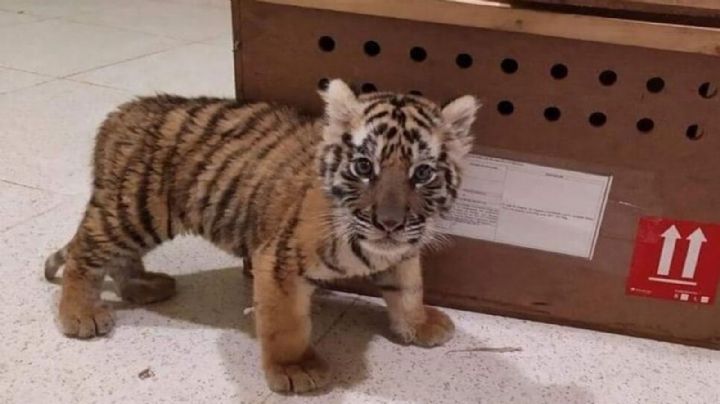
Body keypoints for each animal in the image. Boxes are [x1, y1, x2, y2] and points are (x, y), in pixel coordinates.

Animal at [43, 79, 479, 393]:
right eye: (363, 166)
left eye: (422, 173)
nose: (389, 223)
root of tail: (119, 113)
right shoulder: (278, 260)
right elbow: (285, 323)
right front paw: (294, 369)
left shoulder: (403, 252)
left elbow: (409, 290)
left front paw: (419, 325)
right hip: (135, 211)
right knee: (85, 252)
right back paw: (80, 315)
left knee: (115, 256)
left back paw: (143, 287)